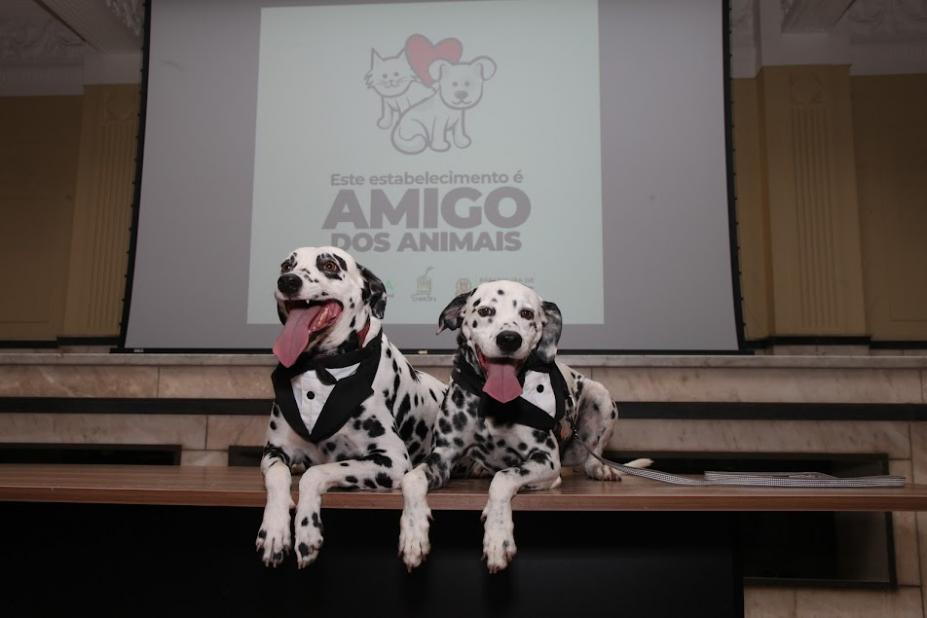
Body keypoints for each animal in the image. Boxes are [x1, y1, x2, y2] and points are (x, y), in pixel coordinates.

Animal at [252, 245, 444, 568]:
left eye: (329, 265)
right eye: (286, 265)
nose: (287, 281)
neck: (320, 366)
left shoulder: (390, 461)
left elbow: (316, 473)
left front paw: (307, 530)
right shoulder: (275, 452)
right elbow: (278, 478)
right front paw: (275, 531)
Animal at [398, 282, 652, 572]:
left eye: (527, 314)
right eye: (485, 310)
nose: (509, 339)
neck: (494, 404)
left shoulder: (546, 461)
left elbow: (503, 477)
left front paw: (498, 537)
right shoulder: (441, 458)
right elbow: (411, 479)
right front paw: (413, 533)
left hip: (601, 397)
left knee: (591, 457)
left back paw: (601, 469)